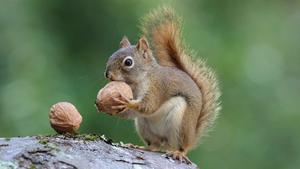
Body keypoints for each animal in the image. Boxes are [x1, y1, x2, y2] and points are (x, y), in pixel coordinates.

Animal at [104, 5, 221, 165]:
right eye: (110, 57)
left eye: (128, 62)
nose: (108, 75)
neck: (139, 81)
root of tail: (192, 135)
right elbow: (132, 113)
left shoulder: (158, 88)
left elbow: (149, 106)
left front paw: (128, 102)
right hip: (144, 126)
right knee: (154, 145)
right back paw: (139, 146)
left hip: (182, 123)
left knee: (183, 146)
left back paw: (178, 153)